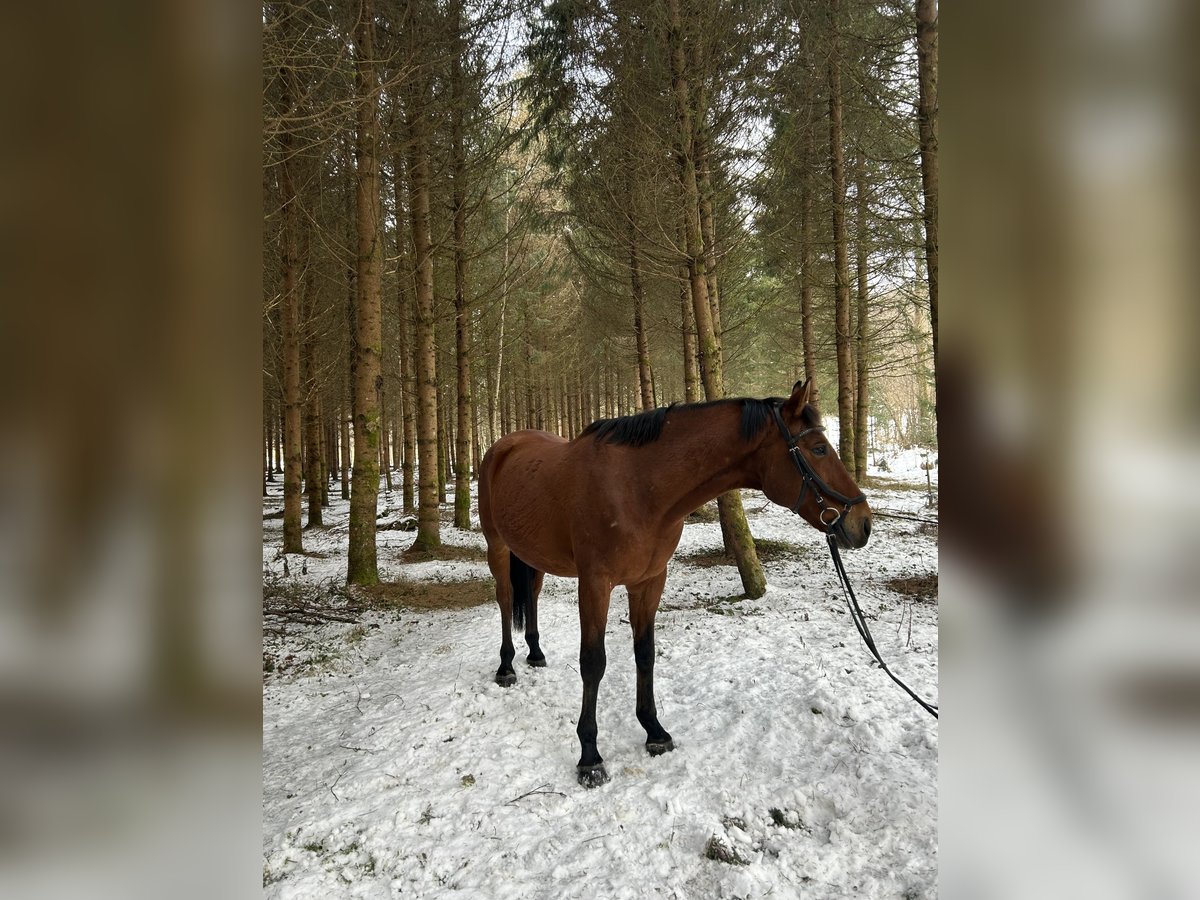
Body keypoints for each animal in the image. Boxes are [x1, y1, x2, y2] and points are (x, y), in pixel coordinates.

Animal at [475, 381, 873, 787]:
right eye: (819, 448)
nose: (863, 522)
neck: (636, 488)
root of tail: (503, 446)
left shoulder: (649, 581)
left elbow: (645, 653)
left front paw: (654, 731)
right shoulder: (595, 584)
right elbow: (593, 662)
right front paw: (590, 756)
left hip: (533, 555)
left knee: (531, 596)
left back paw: (535, 654)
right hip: (498, 546)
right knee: (505, 599)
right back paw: (506, 667)